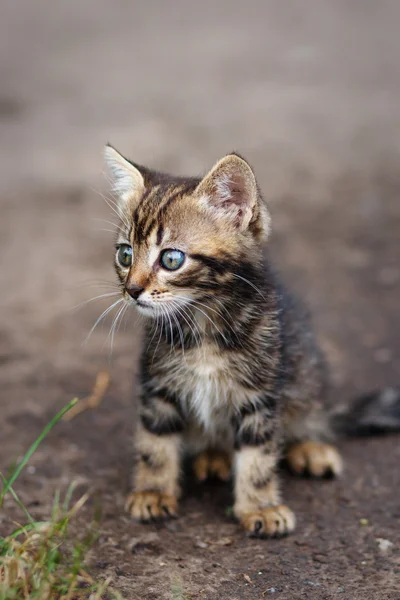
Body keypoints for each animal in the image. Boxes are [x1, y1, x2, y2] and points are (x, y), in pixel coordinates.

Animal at [104, 145, 400, 540]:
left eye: (171, 258)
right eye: (125, 255)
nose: (132, 290)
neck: (204, 323)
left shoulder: (260, 393)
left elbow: (258, 457)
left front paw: (261, 507)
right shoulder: (158, 384)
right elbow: (155, 443)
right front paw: (152, 491)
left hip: (305, 375)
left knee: (311, 415)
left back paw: (311, 447)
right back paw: (213, 456)